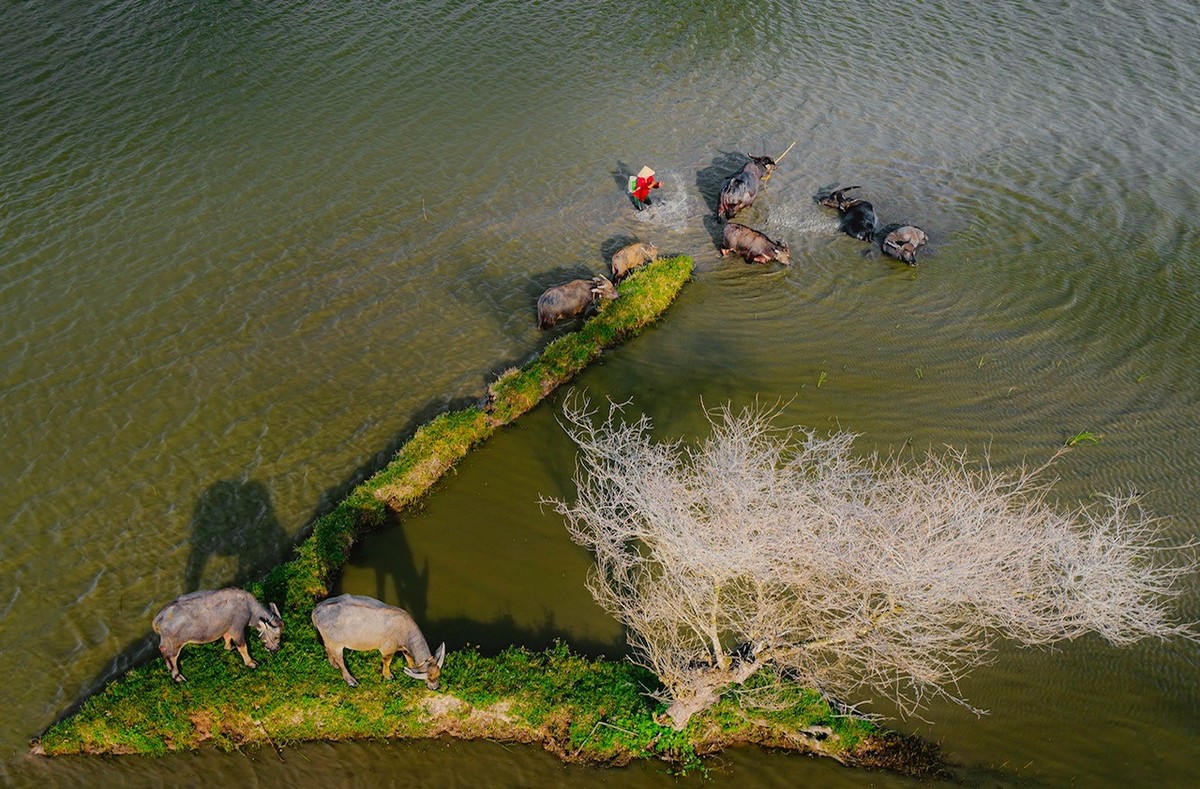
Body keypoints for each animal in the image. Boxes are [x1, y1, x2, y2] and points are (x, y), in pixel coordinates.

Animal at [152, 582, 283, 681]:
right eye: (276, 637)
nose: (276, 649)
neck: (249, 608)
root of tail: (159, 617)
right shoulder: (237, 629)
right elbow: (243, 648)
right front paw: (251, 663)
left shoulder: (227, 628)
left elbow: (227, 638)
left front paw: (229, 647)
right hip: (173, 647)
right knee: (171, 658)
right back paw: (178, 676)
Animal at [312, 592, 448, 685]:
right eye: (429, 679)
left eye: (438, 675)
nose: (435, 687)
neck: (405, 631)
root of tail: (317, 609)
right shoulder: (387, 650)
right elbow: (387, 662)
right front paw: (388, 675)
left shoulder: (405, 648)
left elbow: (409, 657)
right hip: (336, 644)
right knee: (340, 660)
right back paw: (350, 679)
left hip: (329, 641)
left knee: (327, 649)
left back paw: (333, 664)